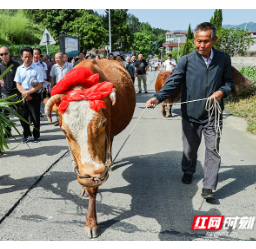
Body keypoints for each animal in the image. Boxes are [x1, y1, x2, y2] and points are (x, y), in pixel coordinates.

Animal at [44, 59, 136, 238]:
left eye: (103, 123)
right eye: (64, 131)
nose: (93, 172)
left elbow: (94, 188)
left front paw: (91, 223)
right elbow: (86, 180)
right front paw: (84, 188)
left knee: (111, 142)